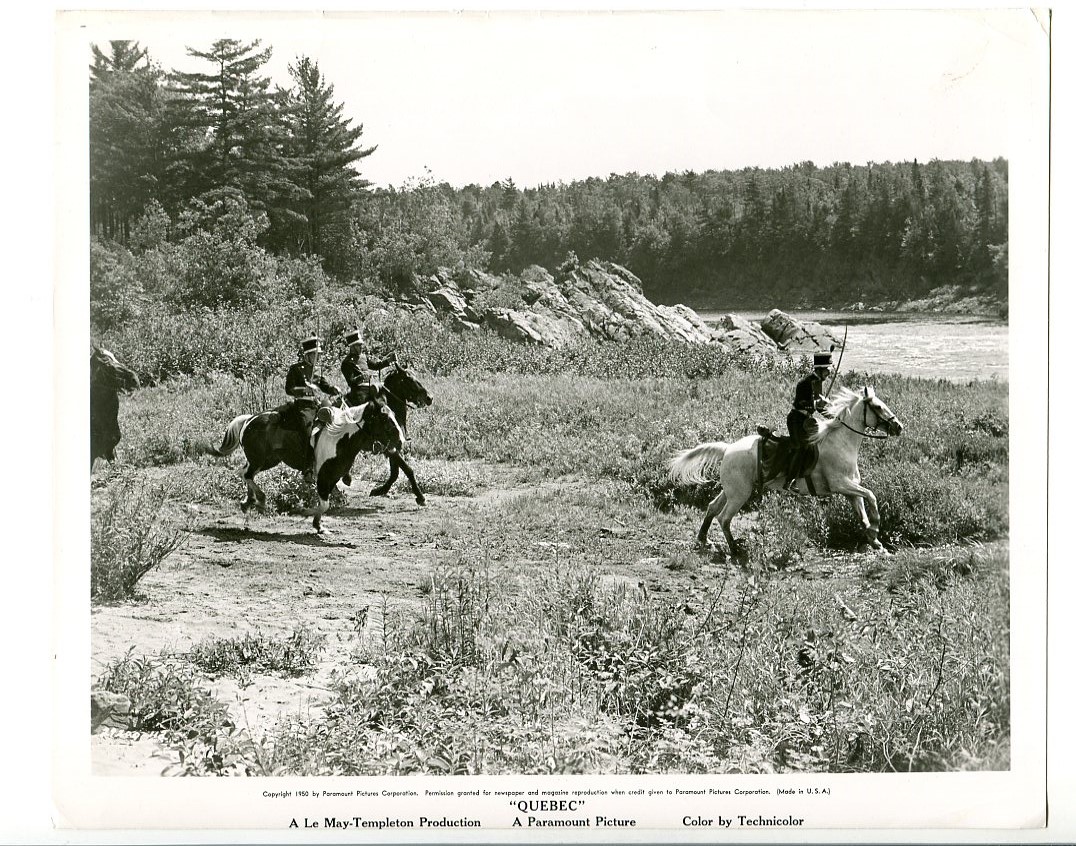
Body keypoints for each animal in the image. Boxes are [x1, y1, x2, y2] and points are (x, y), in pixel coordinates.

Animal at [208, 398, 405, 532]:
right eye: (386, 421)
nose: (401, 441)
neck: (340, 438)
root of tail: (249, 419)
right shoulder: (323, 477)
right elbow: (324, 505)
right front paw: (303, 511)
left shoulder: (332, 477)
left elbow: (325, 504)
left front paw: (318, 525)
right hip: (259, 459)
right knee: (246, 474)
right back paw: (260, 500)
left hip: (268, 460)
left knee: (245, 473)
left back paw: (248, 501)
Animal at [668, 387, 904, 559]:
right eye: (878, 406)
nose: (899, 427)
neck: (840, 442)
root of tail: (727, 449)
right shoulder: (840, 484)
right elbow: (871, 496)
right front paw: (876, 530)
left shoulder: (850, 491)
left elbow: (863, 514)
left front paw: (874, 539)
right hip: (740, 494)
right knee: (724, 517)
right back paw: (735, 549)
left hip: (731, 490)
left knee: (712, 507)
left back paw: (703, 539)